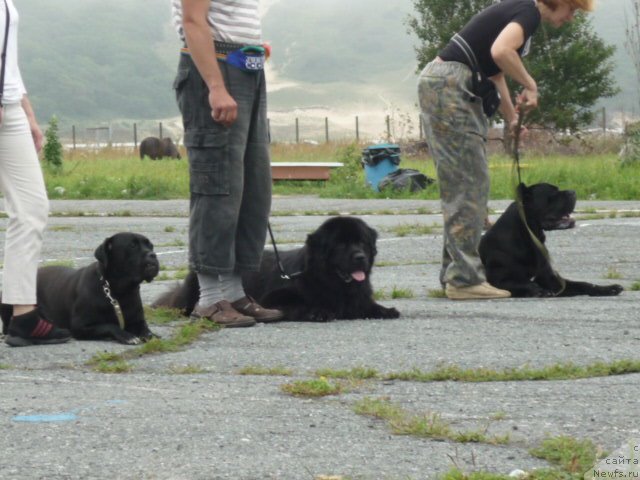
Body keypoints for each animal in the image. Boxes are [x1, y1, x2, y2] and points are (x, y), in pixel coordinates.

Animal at [0, 233, 160, 344]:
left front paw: (152, 336)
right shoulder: (80, 326)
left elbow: (146, 331)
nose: (153, 254)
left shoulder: (137, 320)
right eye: (132, 246)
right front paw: (127, 336)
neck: (118, 290)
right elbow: (110, 325)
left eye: (151, 246)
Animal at [153, 217, 400, 322]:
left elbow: (367, 305)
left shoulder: (357, 297)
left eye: (362, 242)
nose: (360, 257)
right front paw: (317, 312)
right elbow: (298, 304)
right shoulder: (273, 299)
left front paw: (386, 310)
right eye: (340, 244)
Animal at [482, 183, 624, 298]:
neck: (530, 237)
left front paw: (608, 289)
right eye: (552, 194)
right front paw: (539, 291)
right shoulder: (498, 281)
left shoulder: (551, 280)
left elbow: (583, 284)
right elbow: (527, 283)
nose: (573, 191)